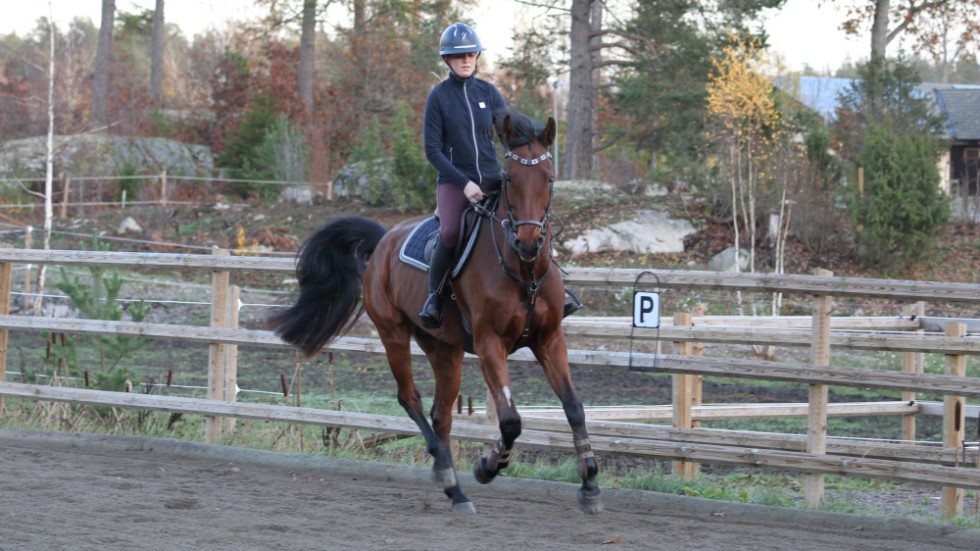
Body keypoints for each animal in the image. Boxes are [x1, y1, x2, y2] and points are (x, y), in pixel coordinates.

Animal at [272, 109, 600, 516]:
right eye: (510, 178)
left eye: (549, 179)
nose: (527, 242)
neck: (524, 274)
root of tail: (383, 240)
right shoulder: (490, 344)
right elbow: (510, 420)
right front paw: (487, 466)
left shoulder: (548, 339)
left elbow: (574, 407)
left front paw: (590, 484)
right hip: (394, 335)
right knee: (409, 398)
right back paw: (448, 477)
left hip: (445, 350)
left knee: (441, 415)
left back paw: (455, 490)